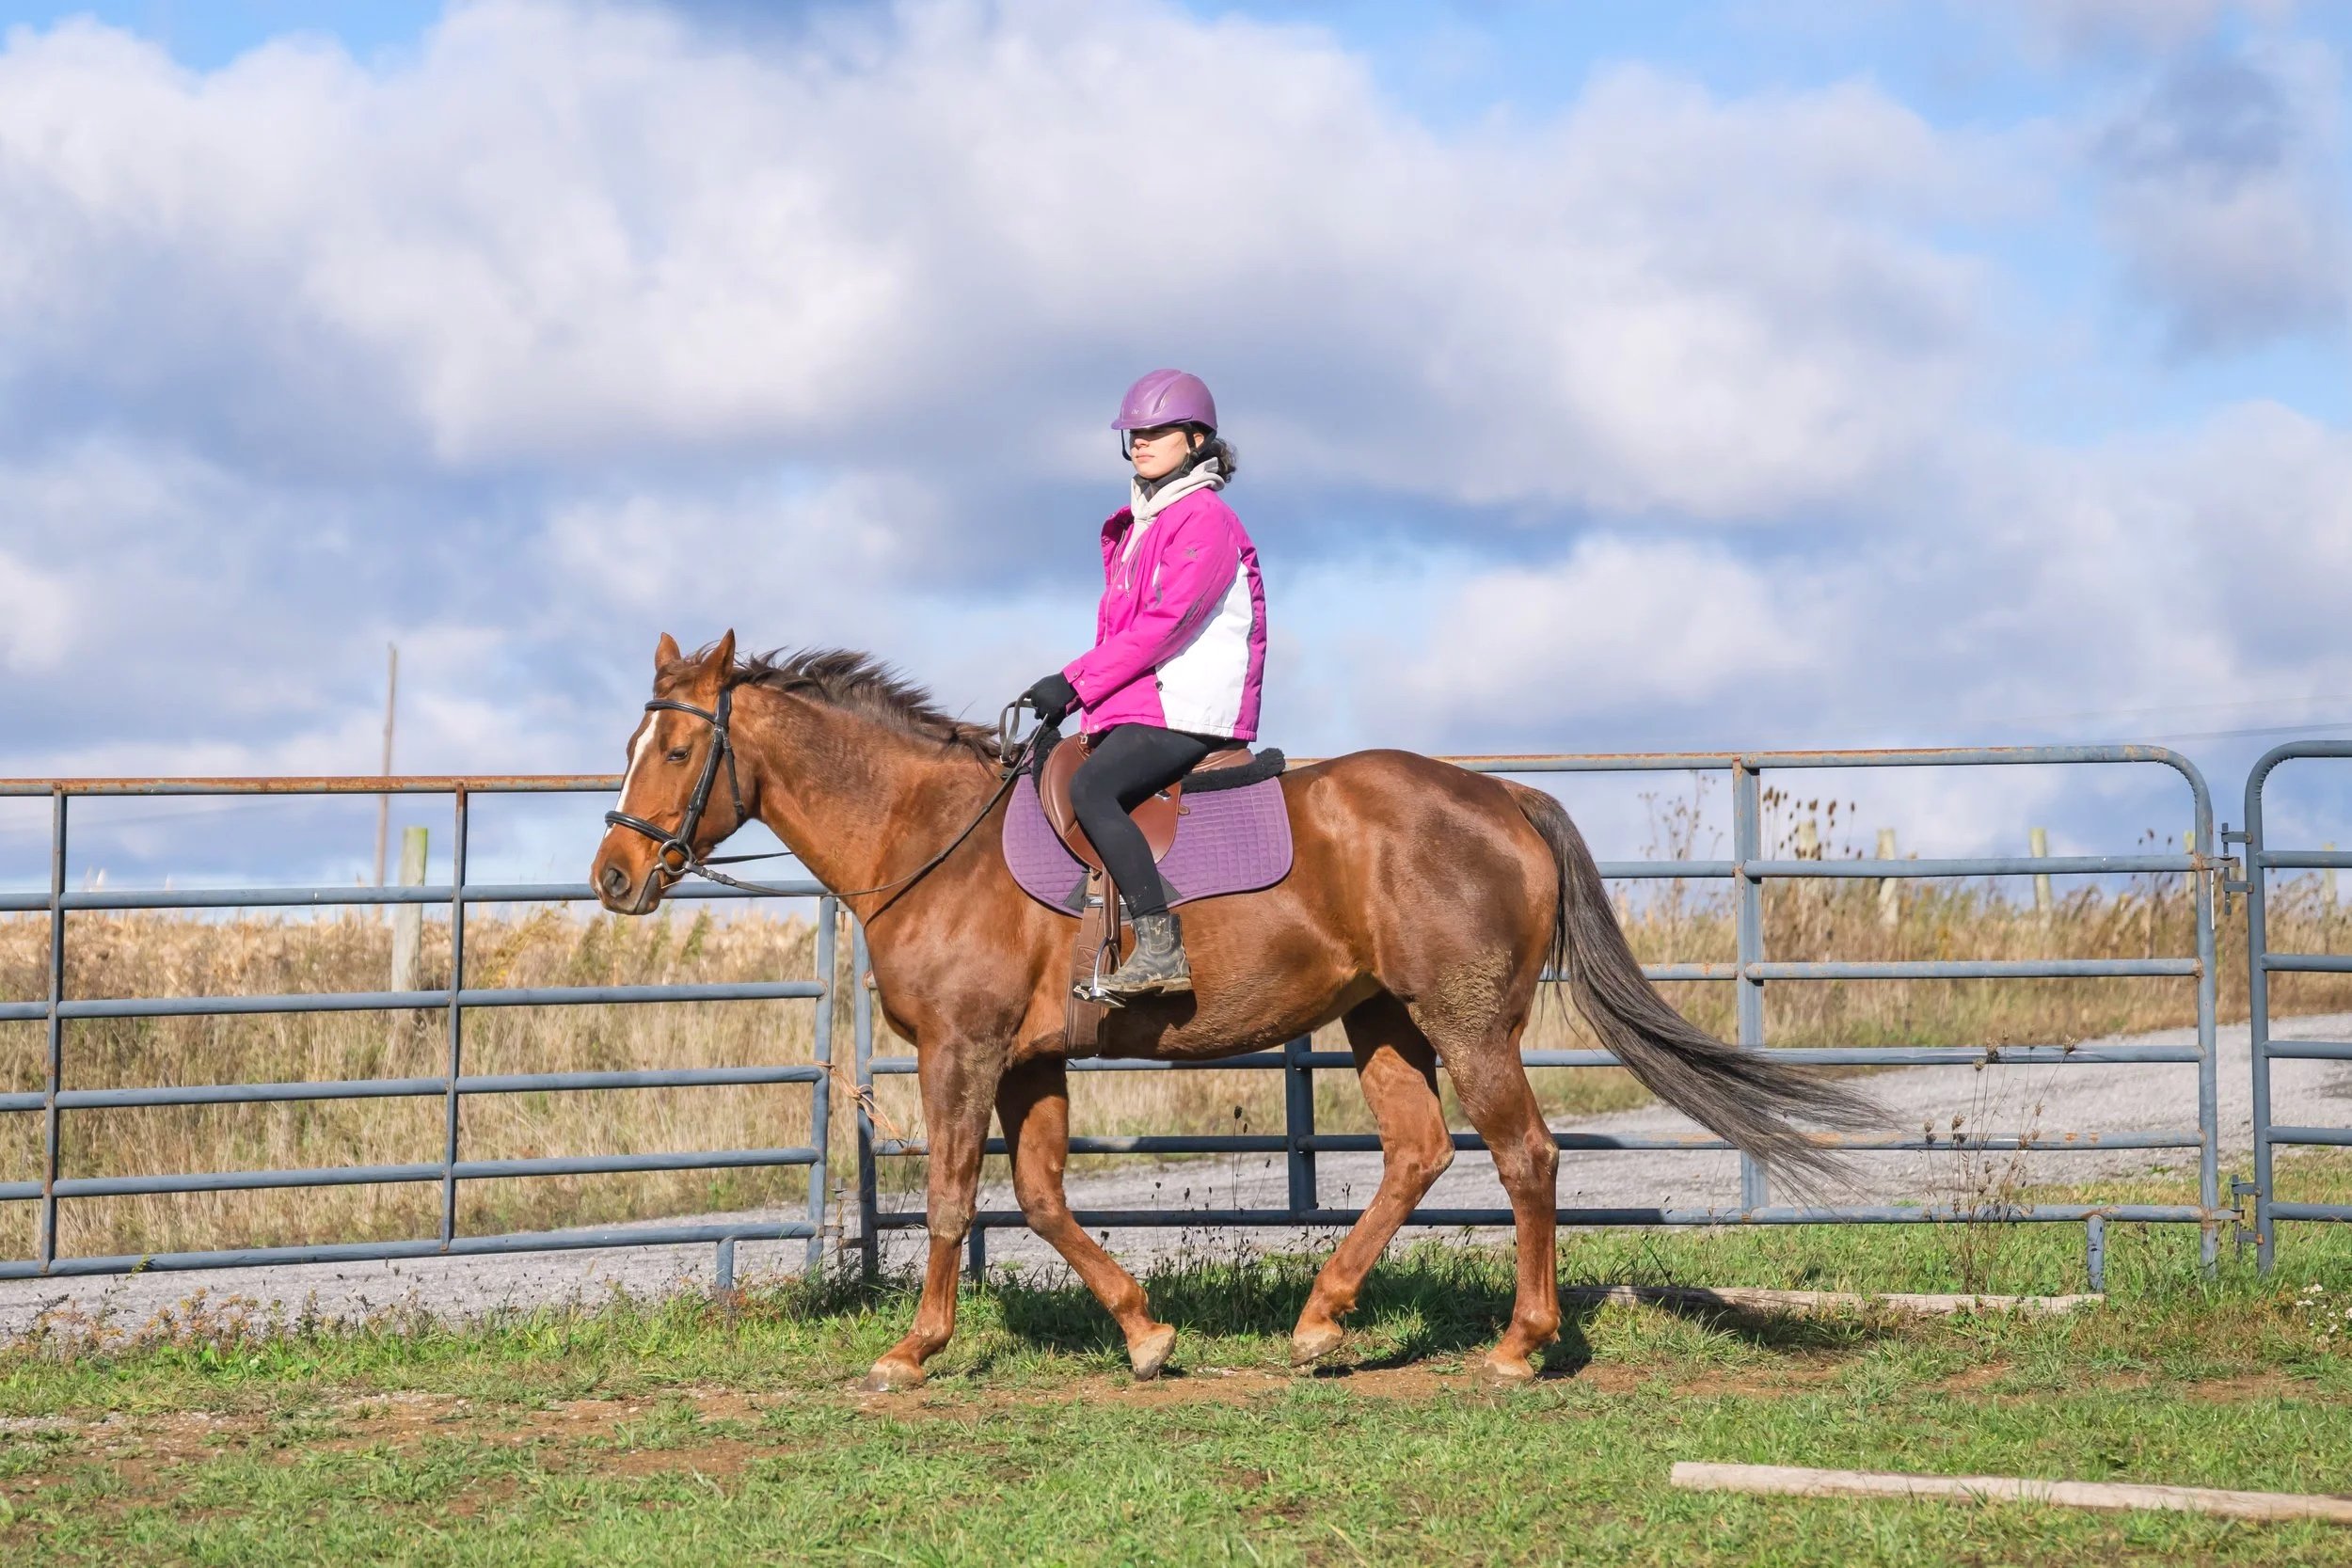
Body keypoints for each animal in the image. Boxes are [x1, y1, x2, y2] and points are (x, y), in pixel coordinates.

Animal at [591, 632, 1871, 1389]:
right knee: (1418, 1151)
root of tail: (1500, 794)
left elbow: (955, 1195)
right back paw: (1320, 1323)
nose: (612, 874)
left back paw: (1518, 1344)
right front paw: (1146, 1332)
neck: (933, 838)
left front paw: (914, 1348)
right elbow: (1041, 1197)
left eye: (676, 748)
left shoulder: (964, 1050)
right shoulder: (1029, 1060)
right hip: (1382, 1019)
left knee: (1525, 1154)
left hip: (1464, 1021)